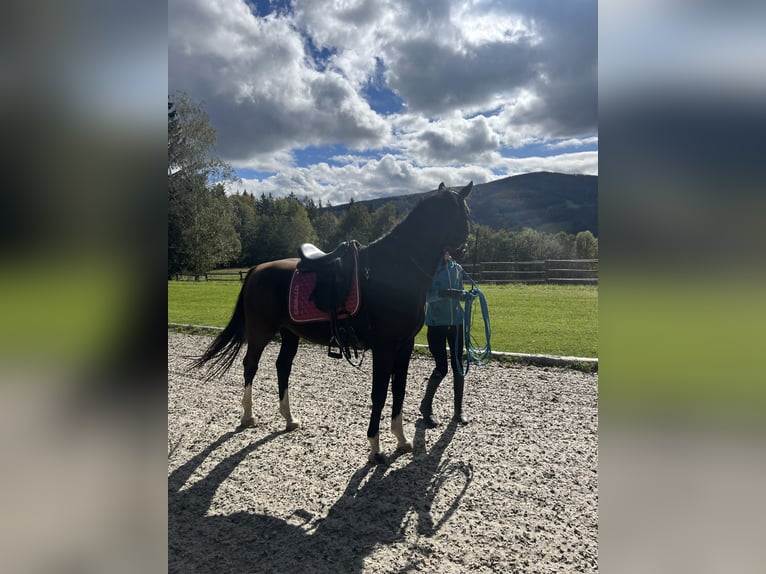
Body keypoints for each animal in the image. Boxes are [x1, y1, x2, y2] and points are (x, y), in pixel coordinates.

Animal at [190, 182, 474, 466]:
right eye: (465, 214)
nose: (464, 249)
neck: (395, 271)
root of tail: (257, 270)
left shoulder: (404, 346)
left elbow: (399, 391)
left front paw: (401, 440)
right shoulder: (383, 348)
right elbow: (379, 393)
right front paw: (375, 448)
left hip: (289, 333)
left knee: (282, 366)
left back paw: (289, 418)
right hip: (261, 331)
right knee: (250, 365)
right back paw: (248, 416)